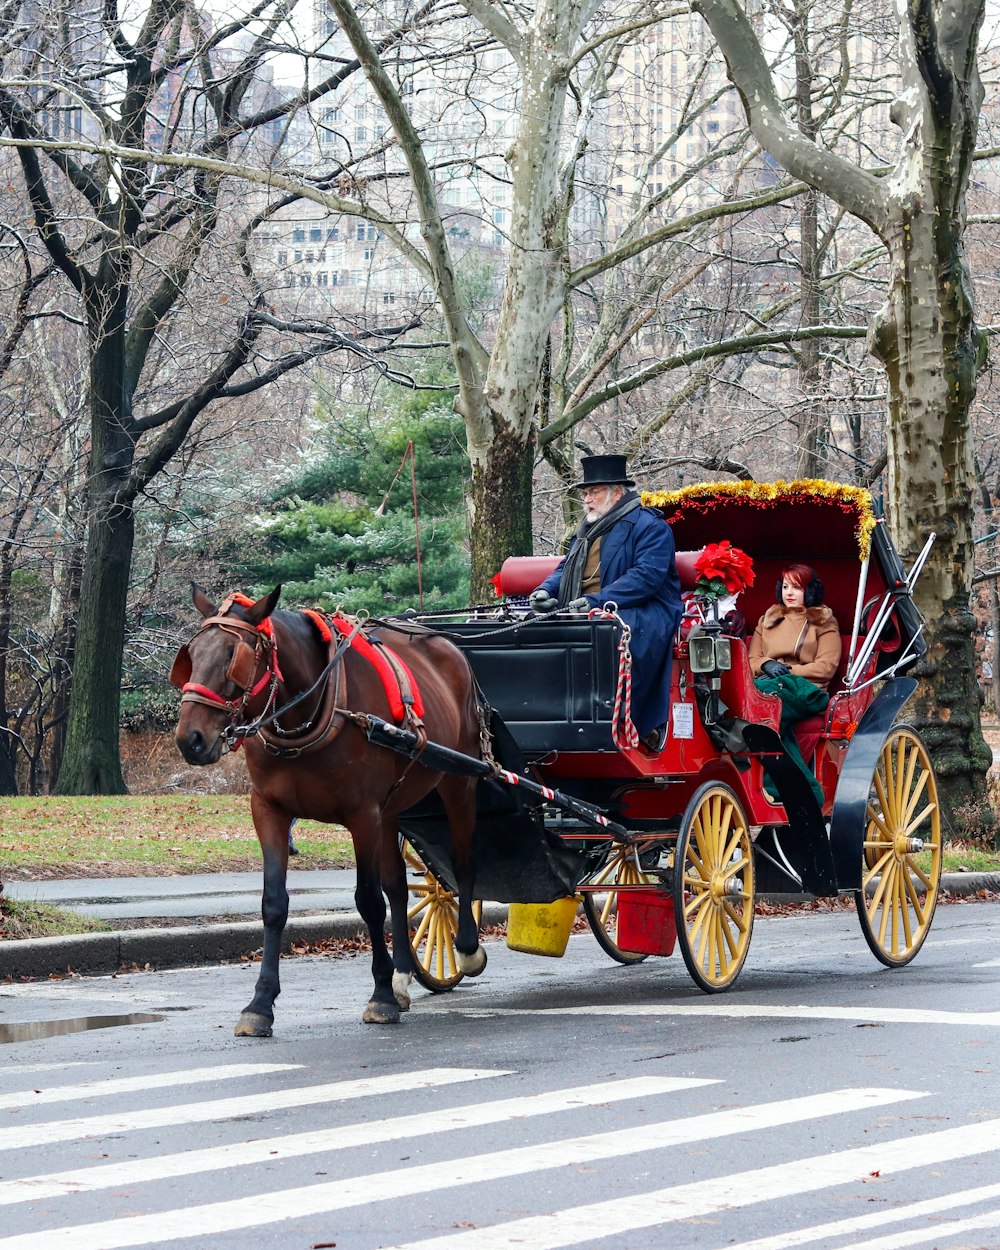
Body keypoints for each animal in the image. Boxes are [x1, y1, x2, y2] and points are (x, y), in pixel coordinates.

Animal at [171, 585, 485, 1035]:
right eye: (191, 655)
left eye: (235, 656)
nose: (190, 739)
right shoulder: (269, 811)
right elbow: (274, 903)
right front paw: (260, 1003)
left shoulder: (362, 815)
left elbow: (368, 900)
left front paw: (380, 996)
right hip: (392, 809)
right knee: (399, 887)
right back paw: (404, 974)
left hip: (459, 782)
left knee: (460, 865)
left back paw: (466, 948)